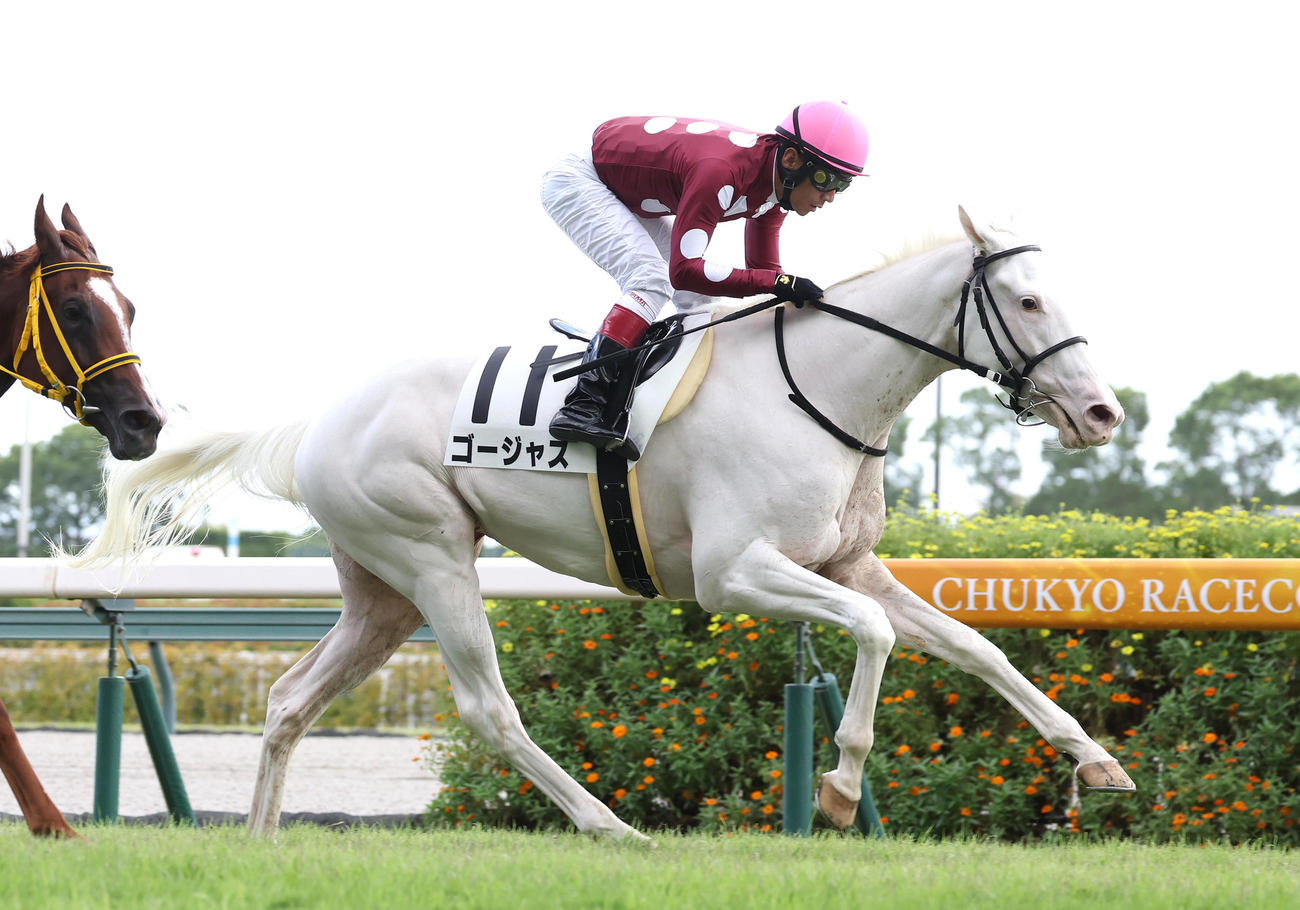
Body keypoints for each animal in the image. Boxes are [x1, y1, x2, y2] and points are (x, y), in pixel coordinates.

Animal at [72, 206, 1133, 841]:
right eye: (1027, 300)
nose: (1102, 412)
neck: (816, 388)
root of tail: (316, 426)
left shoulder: (845, 564)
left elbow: (975, 648)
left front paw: (1097, 759)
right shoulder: (734, 573)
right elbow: (875, 635)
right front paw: (835, 790)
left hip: (382, 591)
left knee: (292, 698)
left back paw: (260, 838)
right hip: (433, 560)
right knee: (488, 708)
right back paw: (608, 824)